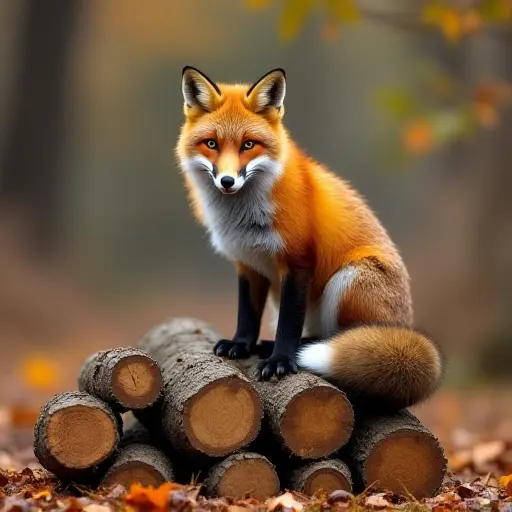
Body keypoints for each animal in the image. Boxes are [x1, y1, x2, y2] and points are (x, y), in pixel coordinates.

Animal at [176, 66, 444, 410]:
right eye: (211, 143)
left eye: (248, 145)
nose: (227, 181)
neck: (243, 218)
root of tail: (403, 326)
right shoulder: (248, 264)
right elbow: (247, 314)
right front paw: (241, 344)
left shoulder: (298, 261)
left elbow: (289, 323)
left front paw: (280, 360)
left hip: (348, 281)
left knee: (334, 337)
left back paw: (301, 349)